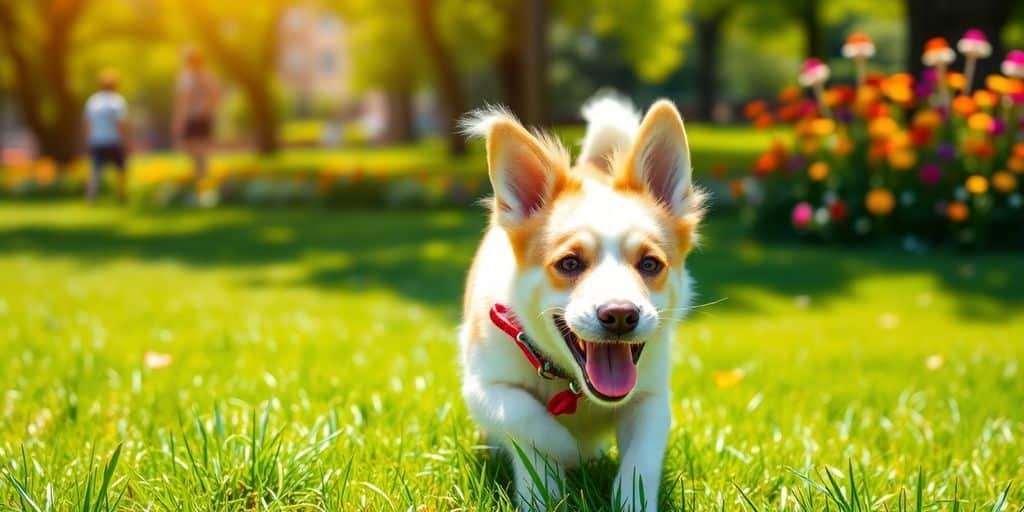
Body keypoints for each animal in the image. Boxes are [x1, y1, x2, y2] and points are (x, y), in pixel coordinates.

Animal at [458, 94, 704, 509]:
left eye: (650, 264)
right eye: (569, 263)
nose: (620, 315)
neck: (574, 386)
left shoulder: (652, 397)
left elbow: (642, 459)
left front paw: (632, 499)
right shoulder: (484, 387)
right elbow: (528, 419)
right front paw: (567, 454)